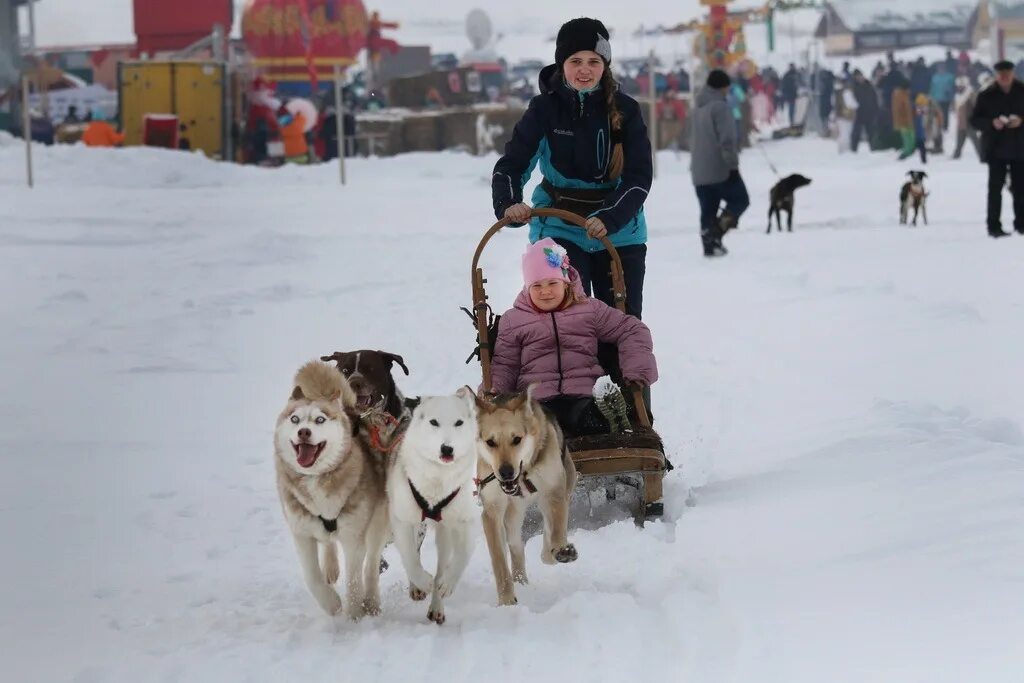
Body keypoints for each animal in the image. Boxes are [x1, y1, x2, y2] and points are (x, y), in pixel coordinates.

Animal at [274, 362, 389, 618]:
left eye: (320, 420)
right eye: (295, 419)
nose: (303, 432)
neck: (317, 479)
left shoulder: (353, 536)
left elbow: (355, 581)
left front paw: (355, 615)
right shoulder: (301, 533)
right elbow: (311, 577)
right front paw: (331, 603)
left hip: (377, 523)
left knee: (371, 564)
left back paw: (372, 601)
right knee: (328, 543)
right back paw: (330, 567)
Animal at [387, 387, 479, 622]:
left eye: (458, 423)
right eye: (434, 422)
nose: (447, 448)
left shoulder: (466, 522)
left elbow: (462, 556)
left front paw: (447, 583)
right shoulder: (402, 521)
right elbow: (410, 559)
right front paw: (422, 581)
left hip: (444, 534)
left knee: (441, 565)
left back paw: (437, 604)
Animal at [473, 387, 577, 606]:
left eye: (517, 439)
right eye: (490, 442)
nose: (505, 472)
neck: (523, 475)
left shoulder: (554, 491)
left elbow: (556, 529)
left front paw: (560, 551)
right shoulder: (492, 511)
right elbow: (499, 559)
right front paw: (506, 601)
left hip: (563, 486)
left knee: (551, 525)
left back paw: (550, 554)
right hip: (513, 515)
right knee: (515, 543)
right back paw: (520, 579)